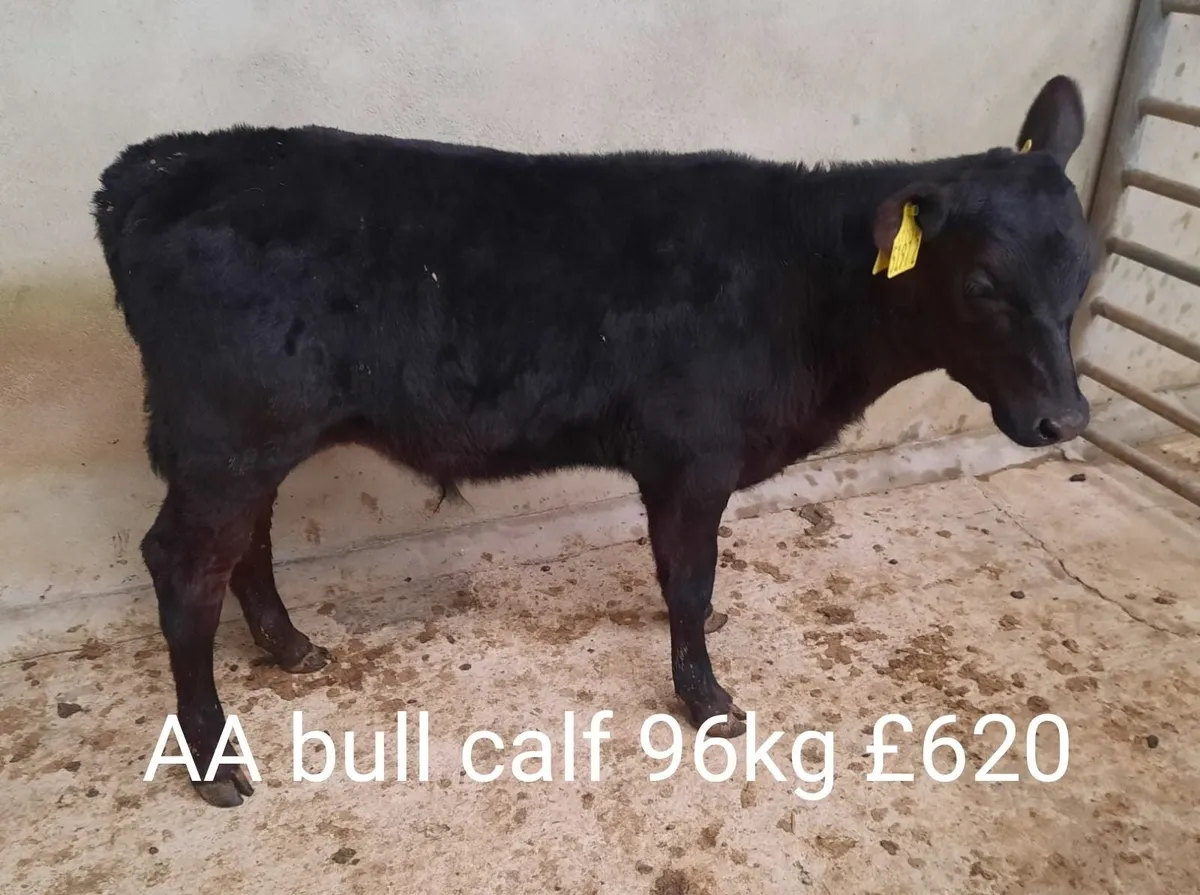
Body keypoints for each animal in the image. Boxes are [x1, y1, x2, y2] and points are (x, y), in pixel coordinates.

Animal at [92, 75, 1095, 806]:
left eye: (1082, 270)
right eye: (983, 283)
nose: (1066, 420)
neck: (802, 285)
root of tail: (156, 165)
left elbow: (682, 575)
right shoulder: (694, 456)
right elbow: (690, 579)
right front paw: (708, 700)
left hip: (250, 439)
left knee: (246, 541)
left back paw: (289, 646)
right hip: (229, 432)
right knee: (184, 567)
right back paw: (215, 760)